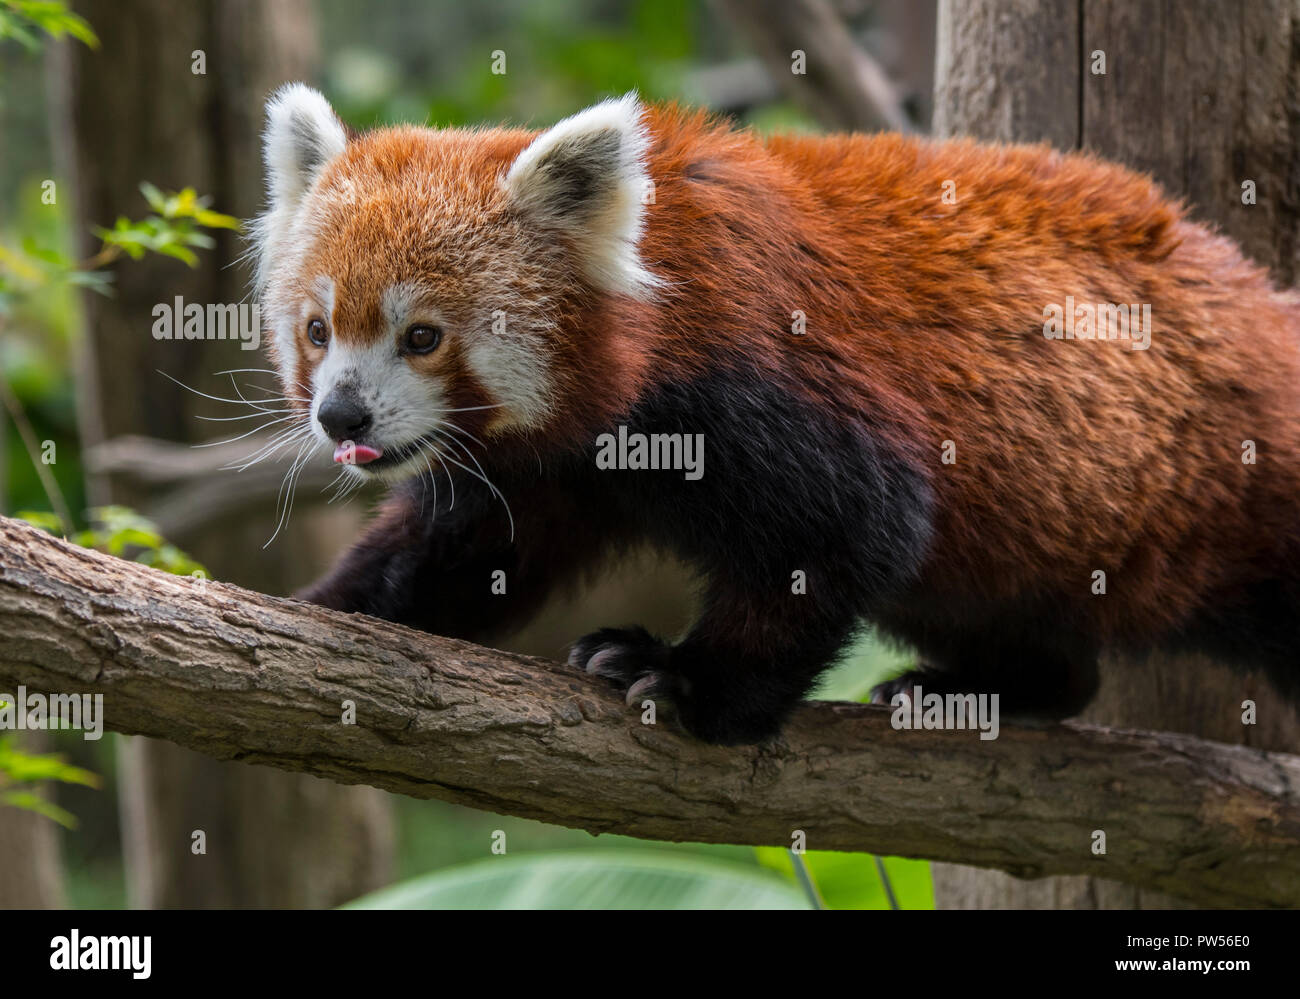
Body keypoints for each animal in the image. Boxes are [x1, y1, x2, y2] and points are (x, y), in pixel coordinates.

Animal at [253, 83, 1300, 738]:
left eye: (422, 336)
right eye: (318, 330)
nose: (343, 418)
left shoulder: (758, 373)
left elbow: (854, 527)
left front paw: (689, 681)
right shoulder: (547, 464)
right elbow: (464, 551)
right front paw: (320, 610)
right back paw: (1001, 683)